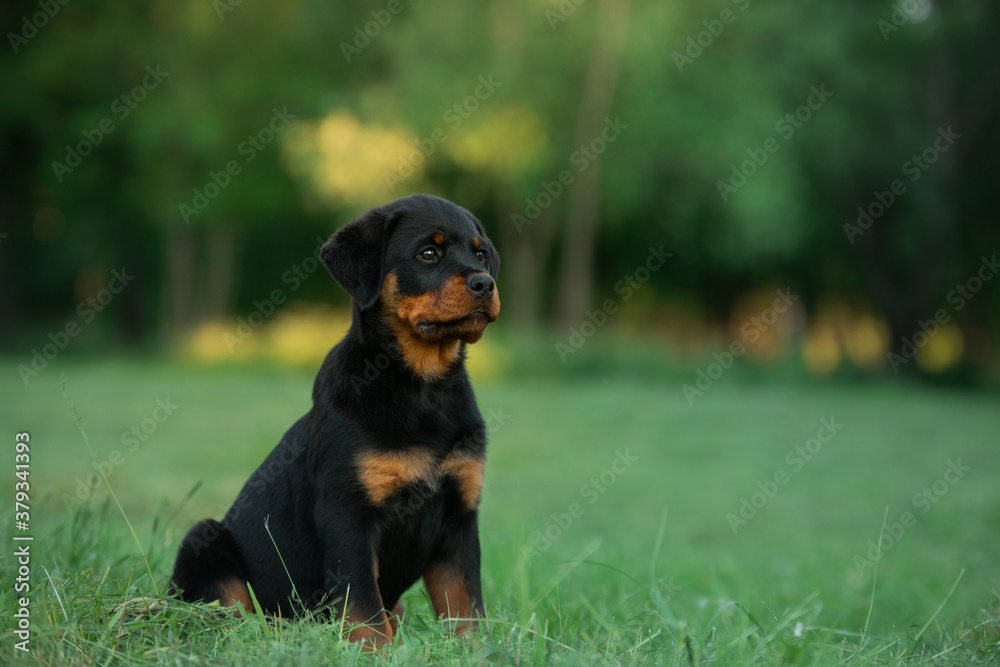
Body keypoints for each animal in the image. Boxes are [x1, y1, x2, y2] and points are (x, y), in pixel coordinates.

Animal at [173, 193, 504, 648]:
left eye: (480, 254)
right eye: (428, 253)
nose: (484, 284)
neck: (423, 385)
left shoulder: (460, 518)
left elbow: (464, 603)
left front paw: (476, 651)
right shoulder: (348, 517)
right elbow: (363, 606)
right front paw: (376, 652)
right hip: (203, 542)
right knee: (234, 609)